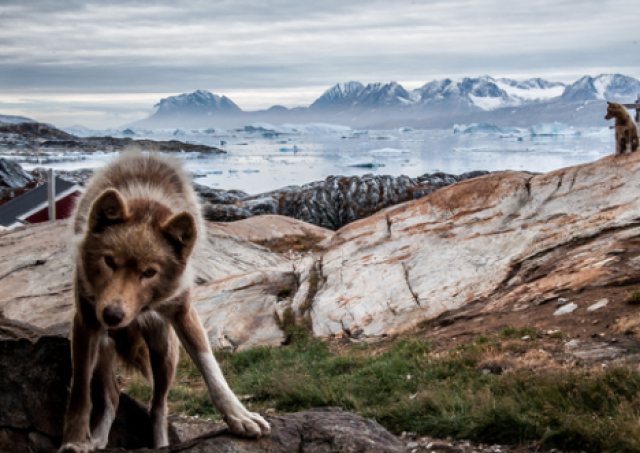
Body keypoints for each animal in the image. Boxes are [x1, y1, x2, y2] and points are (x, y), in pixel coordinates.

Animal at [58, 153, 270, 452]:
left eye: (149, 273)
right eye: (109, 261)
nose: (112, 315)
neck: (146, 202)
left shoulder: (183, 311)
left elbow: (211, 369)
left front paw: (239, 416)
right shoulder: (87, 321)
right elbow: (79, 392)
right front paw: (74, 441)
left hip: (164, 349)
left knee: (158, 407)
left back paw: (158, 444)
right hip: (105, 344)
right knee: (113, 395)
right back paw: (97, 440)